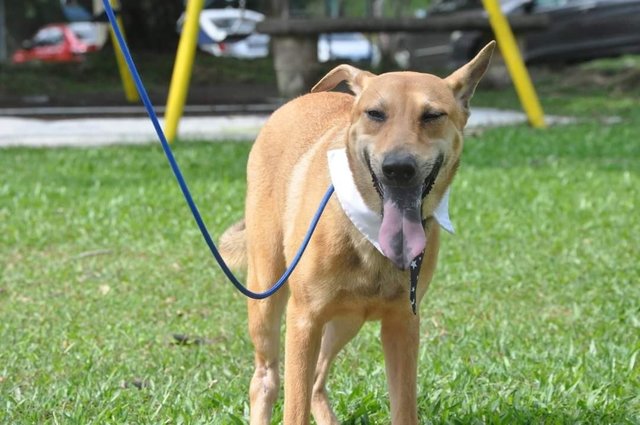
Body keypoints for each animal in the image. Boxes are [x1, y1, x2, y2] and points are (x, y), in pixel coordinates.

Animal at [220, 41, 496, 422]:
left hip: (346, 319)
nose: (398, 168)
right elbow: (294, 407)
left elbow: (404, 410)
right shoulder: (304, 320)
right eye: (375, 114)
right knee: (266, 379)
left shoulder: (403, 323)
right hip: (267, 294)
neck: (370, 236)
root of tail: (295, 101)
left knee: (317, 381)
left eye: (432, 116)